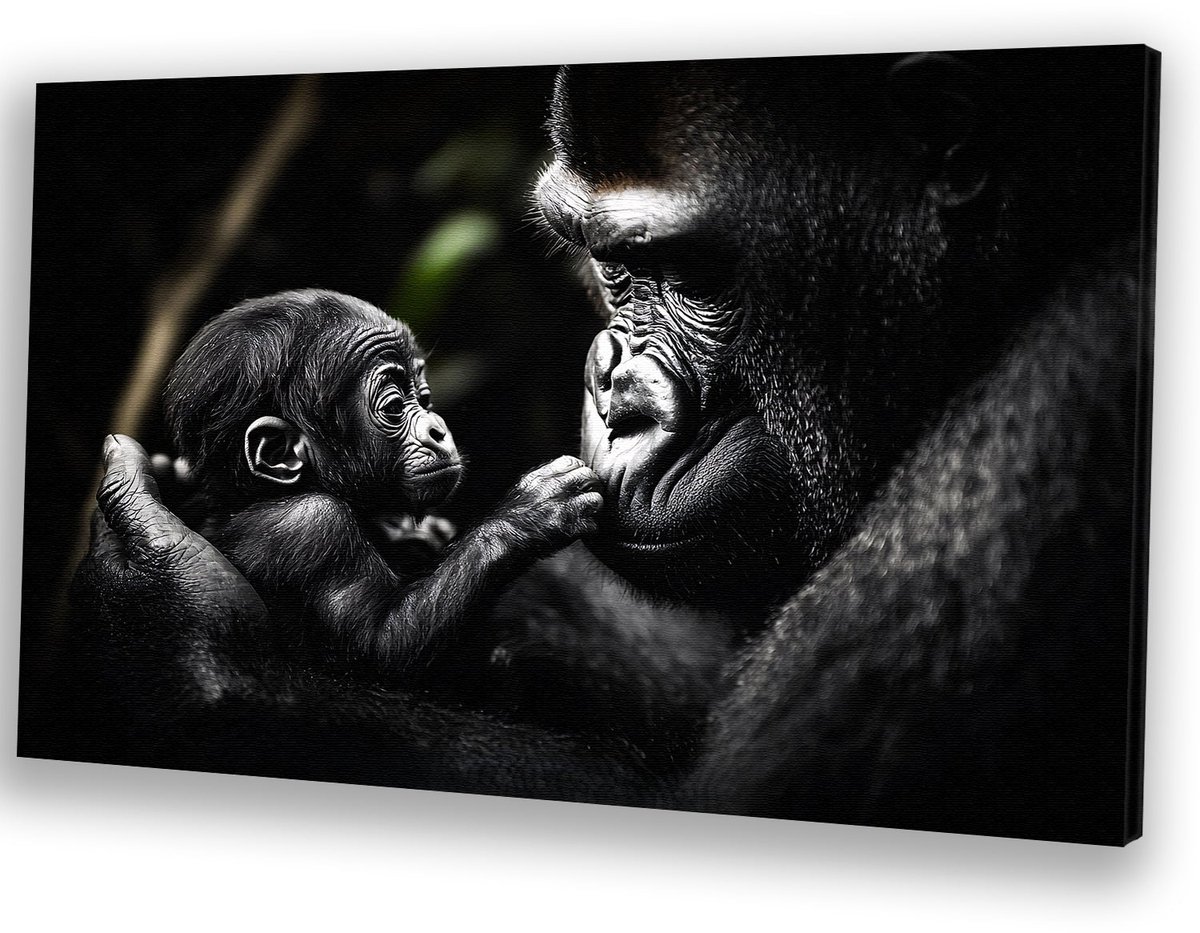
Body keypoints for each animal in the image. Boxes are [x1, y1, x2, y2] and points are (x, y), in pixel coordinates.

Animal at [160, 288, 604, 673]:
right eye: (393, 407)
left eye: (424, 398)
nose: (438, 428)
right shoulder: (309, 527)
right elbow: (382, 645)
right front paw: (529, 515)